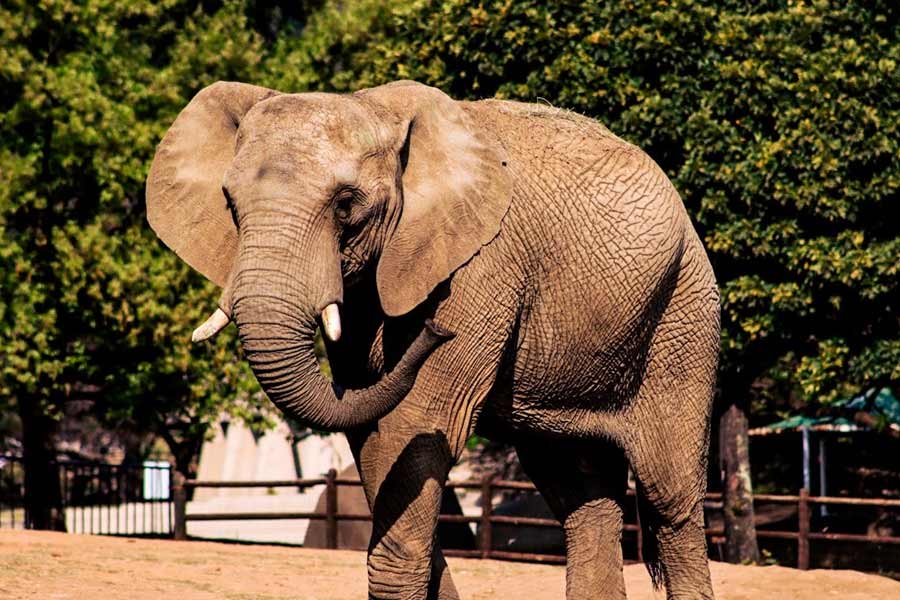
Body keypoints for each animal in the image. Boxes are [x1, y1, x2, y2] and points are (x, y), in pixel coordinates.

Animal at [146, 80, 720, 600]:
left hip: (683, 316)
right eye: (230, 203)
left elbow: (421, 421)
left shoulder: (480, 266)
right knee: (581, 494)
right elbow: (374, 435)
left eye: (346, 205)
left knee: (670, 499)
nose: (435, 332)